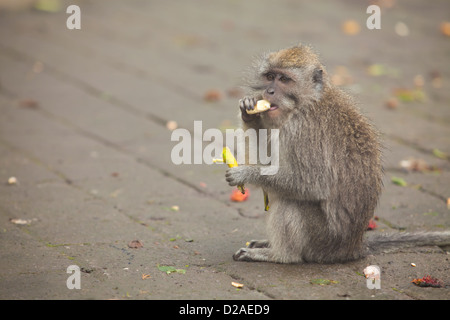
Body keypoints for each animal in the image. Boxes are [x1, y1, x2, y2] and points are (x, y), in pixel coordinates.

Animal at [227, 45, 450, 264]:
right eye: (270, 76)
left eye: (284, 79)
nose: (269, 91)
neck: (306, 103)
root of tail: (354, 247)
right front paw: (249, 115)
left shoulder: (303, 131)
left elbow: (310, 183)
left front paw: (245, 173)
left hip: (321, 240)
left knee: (290, 201)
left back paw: (279, 255)